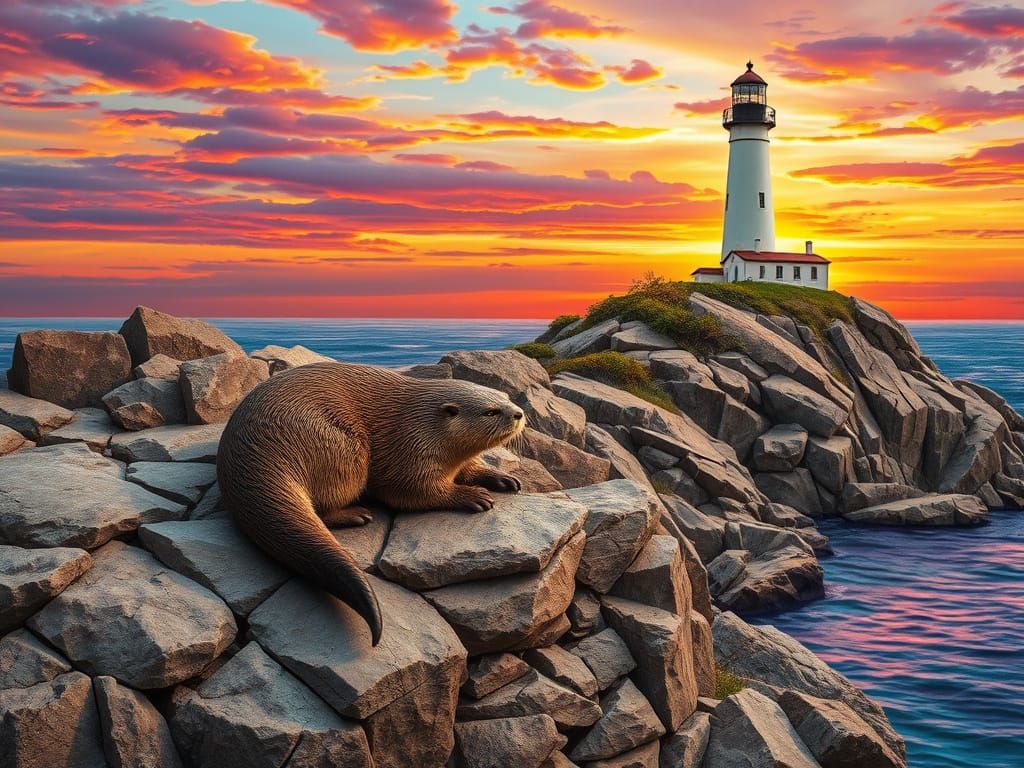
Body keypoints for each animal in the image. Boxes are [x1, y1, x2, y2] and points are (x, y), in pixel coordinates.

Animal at [216, 362, 526, 645]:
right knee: (326, 504)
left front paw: (501, 477)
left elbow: (472, 468)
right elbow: (413, 492)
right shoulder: (408, 452)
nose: (519, 413)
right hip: (343, 450)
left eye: (508, 398)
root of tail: (252, 450)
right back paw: (355, 515)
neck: (422, 426)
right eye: (490, 411)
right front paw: (471, 495)